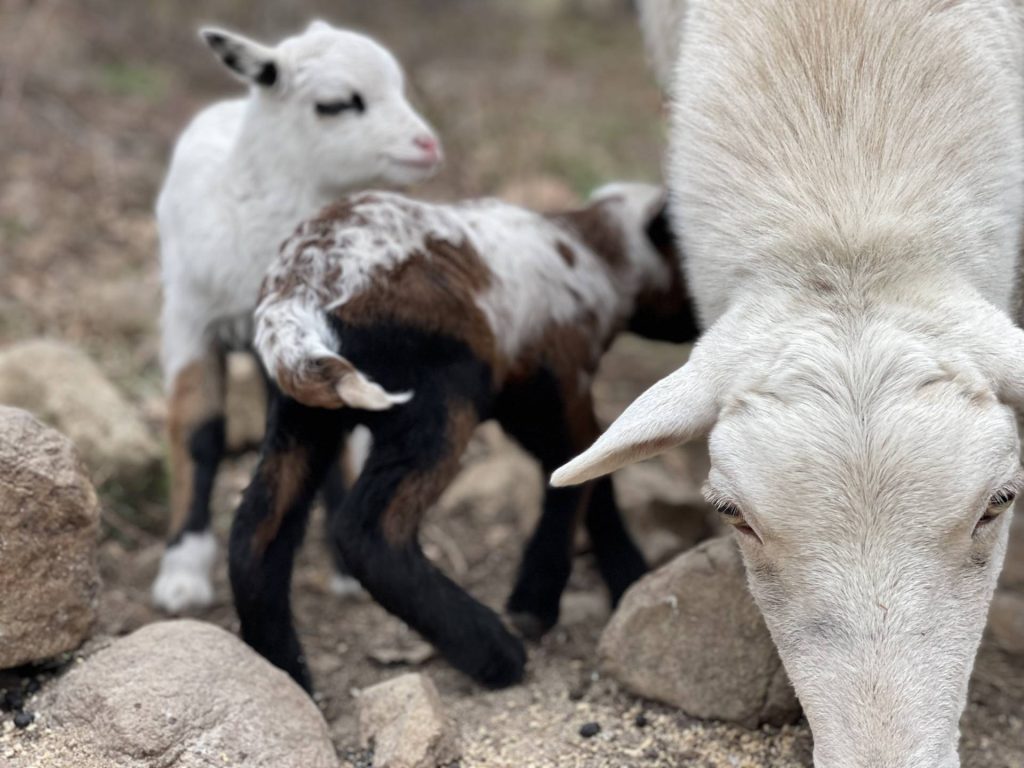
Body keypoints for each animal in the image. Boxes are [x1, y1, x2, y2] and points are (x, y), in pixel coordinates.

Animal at [152, 20, 442, 613]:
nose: (427, 146)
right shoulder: (189, 321)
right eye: (336, 103)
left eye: (398, 86)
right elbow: (198, 431)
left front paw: (346, 568)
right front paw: (182, 573)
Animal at [229, 183, 697, 691]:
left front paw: (626, 577)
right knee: (369, 530)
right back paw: (495, 654)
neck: (600, 253)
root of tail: (297, 296)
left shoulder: (527, 401)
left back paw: (287, 673)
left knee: (257, 531)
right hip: (439, 395)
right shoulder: (561, 378)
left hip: (303, 415)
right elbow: (575, 471)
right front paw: (536, 603)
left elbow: (593, 470)